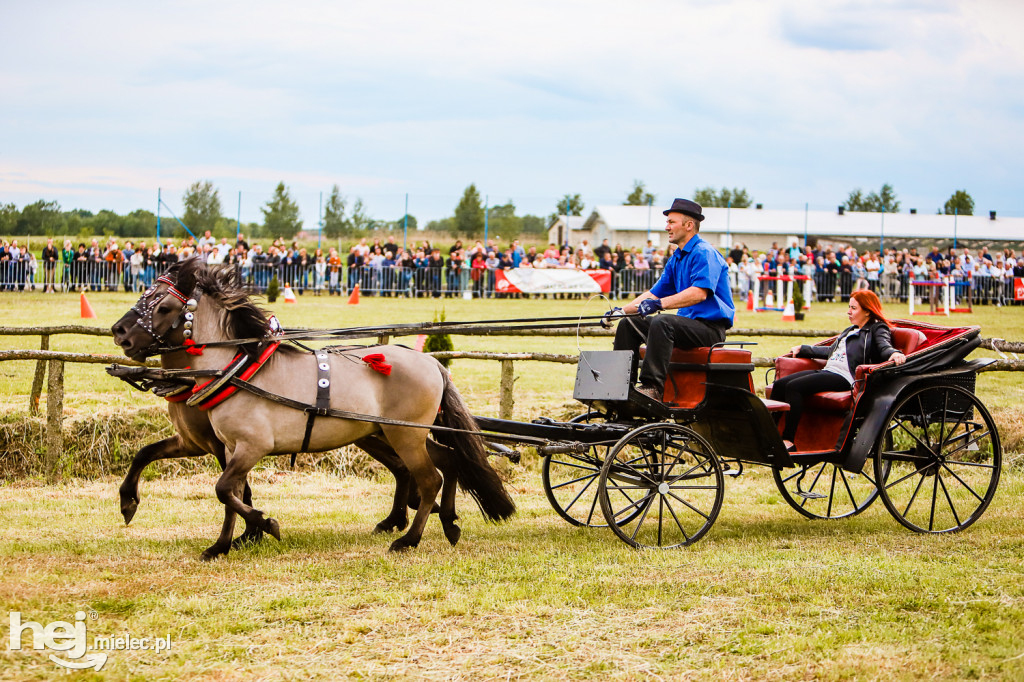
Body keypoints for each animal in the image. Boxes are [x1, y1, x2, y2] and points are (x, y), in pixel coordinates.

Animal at [111, 258, 512, 557]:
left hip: (403, 435)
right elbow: (227, 492)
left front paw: (264, 524)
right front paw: (222, 544)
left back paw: (408, 539)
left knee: (430, 479)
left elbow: (225, 490)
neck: (236, 369)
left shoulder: (251, 447)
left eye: (163, 306)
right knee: (448, 461)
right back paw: (449, 522)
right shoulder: (223, 446)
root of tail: (431, 362)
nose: (120, 333)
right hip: (397, 434)